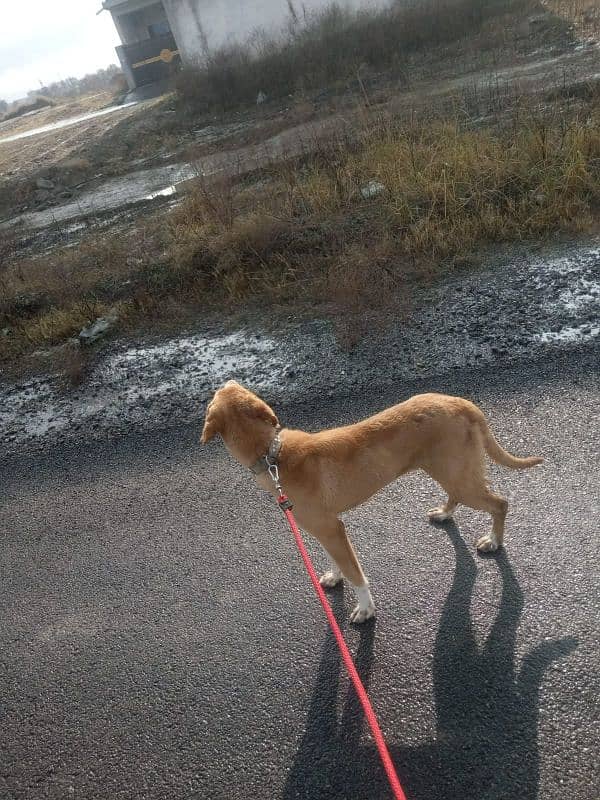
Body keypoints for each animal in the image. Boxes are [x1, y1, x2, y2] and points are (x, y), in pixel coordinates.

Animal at [203, 382, 544, 624]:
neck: (273, 454)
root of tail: (462, 403)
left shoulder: (331, 528)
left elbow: (355, 573)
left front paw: (365, 609)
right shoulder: (327, 530)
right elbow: (337, 561)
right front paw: (333, 576)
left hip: (459, 475)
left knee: (501, 503)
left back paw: (494, 541)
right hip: (449, 471)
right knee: (459, 496)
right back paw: (445, 514)